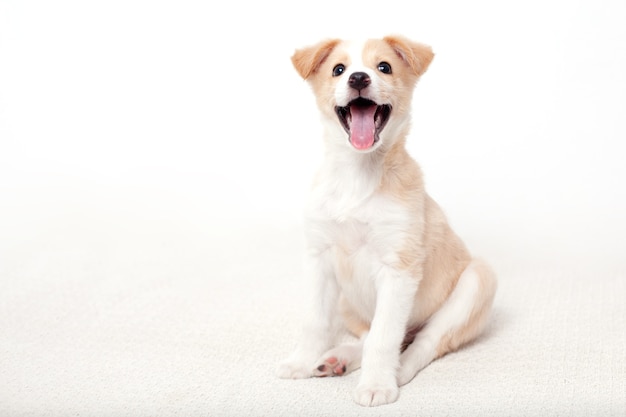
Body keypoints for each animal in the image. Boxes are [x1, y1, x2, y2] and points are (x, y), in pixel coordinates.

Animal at [276, 35, 494, 406]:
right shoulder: (319, 259)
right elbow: (315, 321)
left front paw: (377, 384)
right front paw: (301, 362)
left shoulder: (399, 269)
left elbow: (384, 337)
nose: (358, 78)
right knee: (370, 336)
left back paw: (398, 370)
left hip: (477, 281)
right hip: (348, 303)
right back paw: (338, 358)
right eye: (338, 69)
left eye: (384, 67)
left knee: (424, 342)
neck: (357, 174)